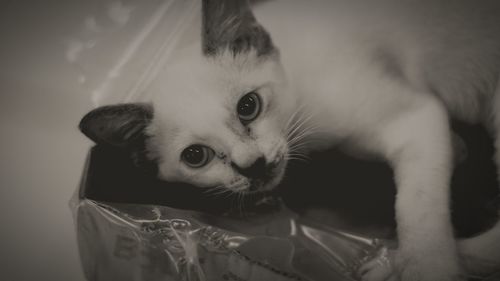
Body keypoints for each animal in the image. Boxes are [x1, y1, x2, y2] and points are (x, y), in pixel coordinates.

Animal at [81, 0, 500, 278]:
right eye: (196, 156)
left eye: (248, 106)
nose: (252, 166)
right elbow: (447, 157)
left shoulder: (417, 119)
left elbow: (420, 218)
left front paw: (425, 268)